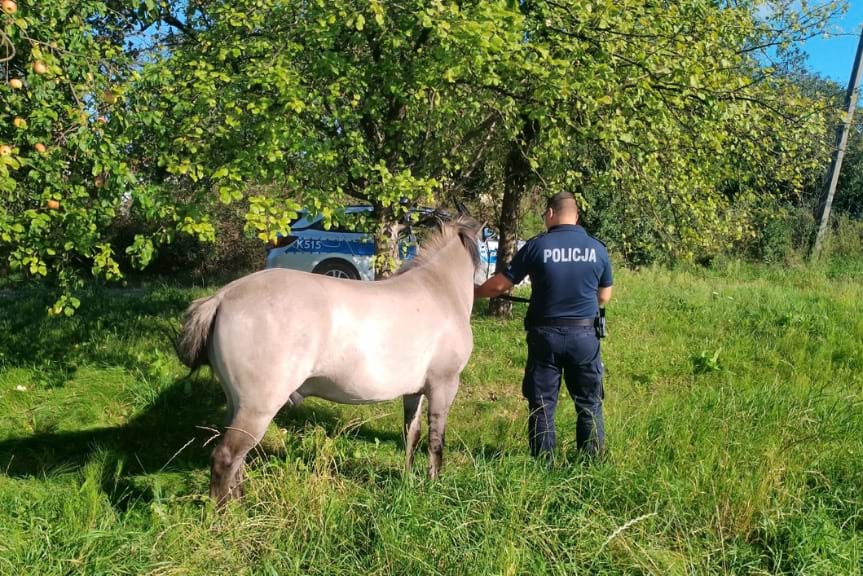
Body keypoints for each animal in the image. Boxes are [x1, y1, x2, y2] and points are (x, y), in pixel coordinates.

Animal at [178, 215, 482, 504]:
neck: (438, 289)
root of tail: (222, 296)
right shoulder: (444, 385)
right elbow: (436, 440)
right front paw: (434, 486)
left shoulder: (414, 391)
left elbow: (412, 435)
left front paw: (408, 481)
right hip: (258, 408)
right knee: (226, 457)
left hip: (237, 404)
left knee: (237, 461)